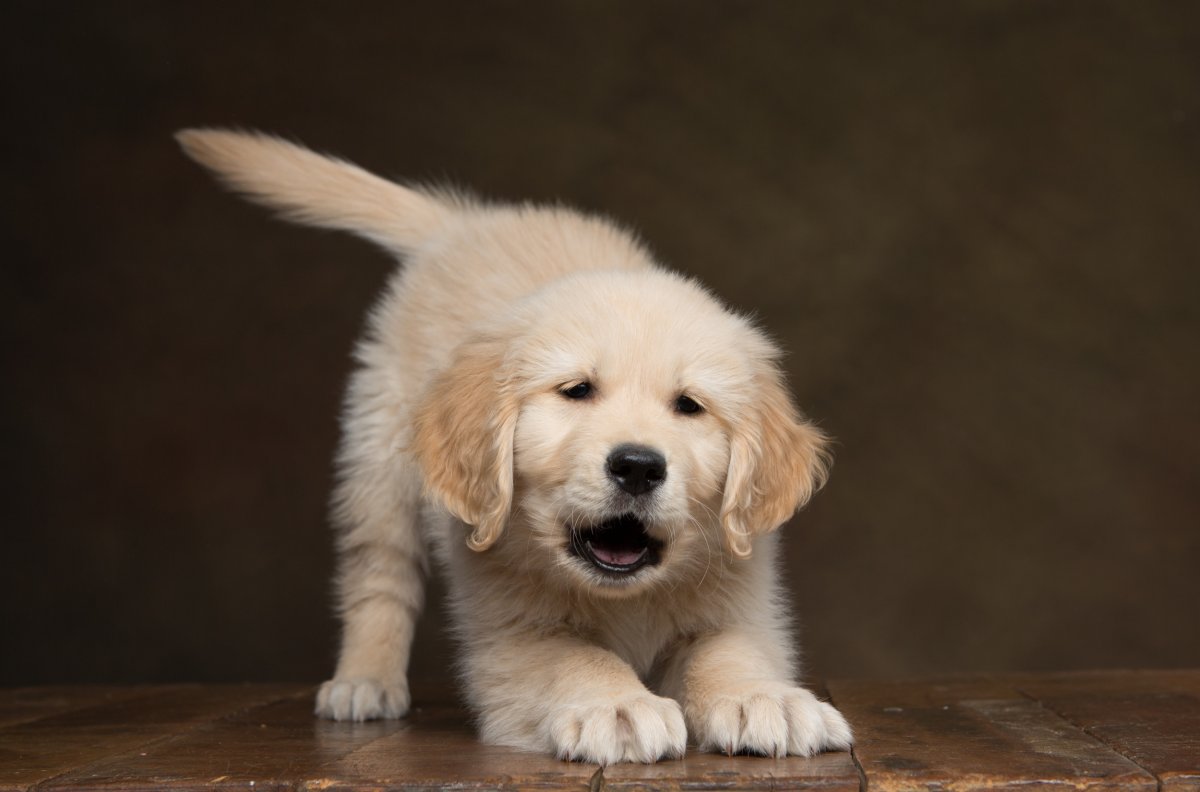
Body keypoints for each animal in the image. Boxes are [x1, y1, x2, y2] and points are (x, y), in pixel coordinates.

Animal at [177, 128, 854, 763]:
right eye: (576, 390)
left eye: (689, 406)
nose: (637, 466)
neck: (622, 596)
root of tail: (470, 223)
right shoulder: (507, 636)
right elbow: (572, 655)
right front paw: (618, 706)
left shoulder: (744, 603)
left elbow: (729, 651)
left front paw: (760, 698)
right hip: (380, 455)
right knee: (379, 573)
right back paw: (364, 680)